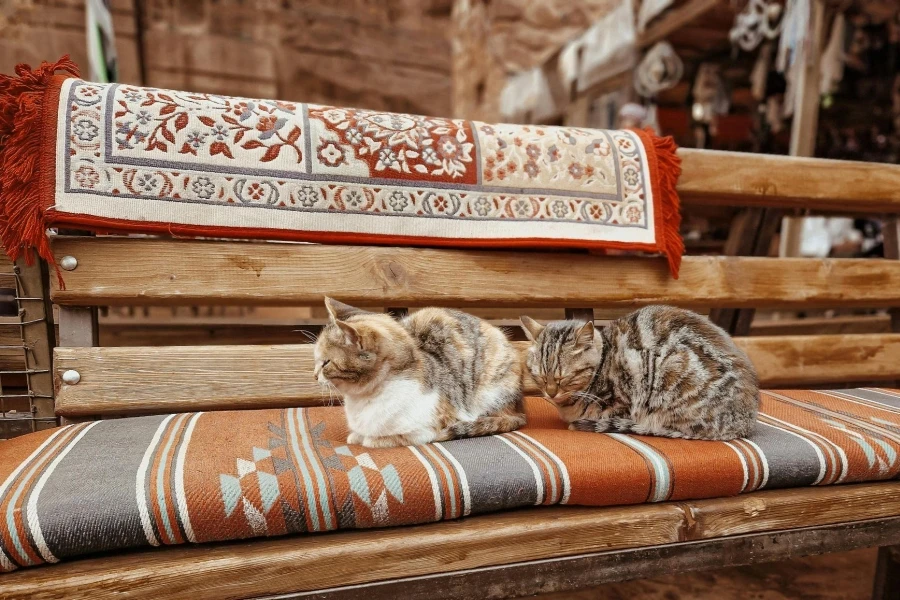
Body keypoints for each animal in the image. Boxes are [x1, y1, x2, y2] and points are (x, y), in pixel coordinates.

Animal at [312, 298, 524, 448]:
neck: (363, 399)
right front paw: (357, 436)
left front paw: (372, 440)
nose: (314, 375)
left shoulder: (430, 426)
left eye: (325, 362)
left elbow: (396, 437)